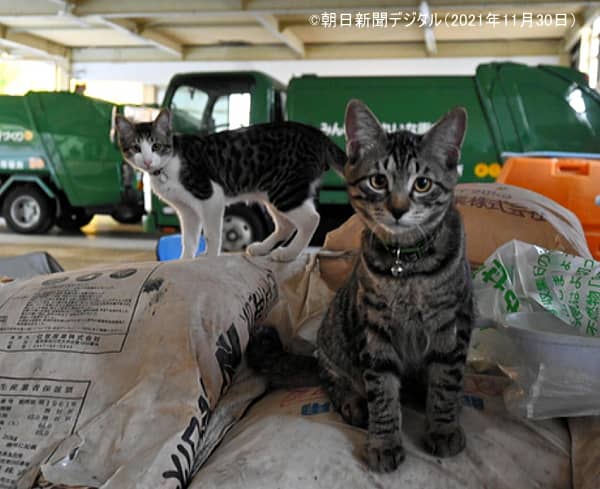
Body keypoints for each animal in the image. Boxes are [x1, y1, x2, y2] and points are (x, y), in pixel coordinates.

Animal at [115, 109, 344, 262]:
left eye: (156, 146)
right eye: (136, 148)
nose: (147, 161)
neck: (169, 163)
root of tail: (318, 135)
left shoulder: (211, 196)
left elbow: (212, 234)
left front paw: (210, 258)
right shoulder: (187, 210)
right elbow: (188, 238)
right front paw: (185, 261)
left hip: (286, 190)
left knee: (311, 219)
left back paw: (289, 253)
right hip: (271, 191)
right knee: (286, 225)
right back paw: (262, 249)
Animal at [248, 99, 474, 468]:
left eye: (422, 184)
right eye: (379, 181)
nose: (398, 209)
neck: (408, 267)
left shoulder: (452, 325)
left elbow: (445, 383)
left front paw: (443, 427)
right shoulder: (375, 330)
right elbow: (382, 391)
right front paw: (384, 442)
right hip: (334, 344)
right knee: (332, 380)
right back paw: (354, 402)